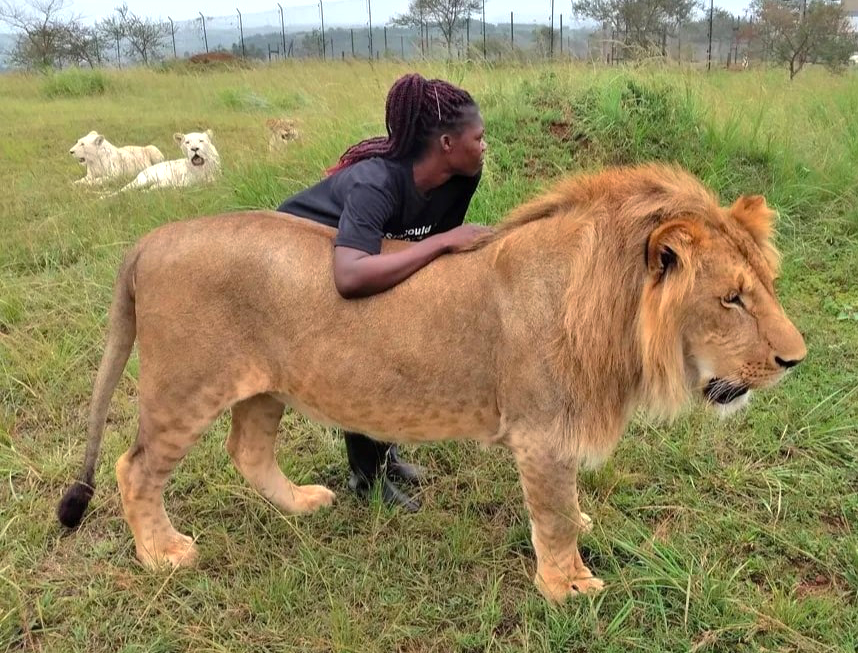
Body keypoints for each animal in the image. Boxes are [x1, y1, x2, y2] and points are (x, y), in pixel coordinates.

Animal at [57, 164, 806, 603]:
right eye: (731, 299)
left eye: (766, 286)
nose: (795, 360)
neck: (611, 306)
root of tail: (150, 239)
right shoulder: (542, 432)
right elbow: (554, 515)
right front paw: (570, 586)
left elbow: (565, 506)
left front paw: (580, 533)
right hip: (185, 385)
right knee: (134, 466)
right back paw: (163, 554)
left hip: (265, 385)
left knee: (247, 450)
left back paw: (302, 504)